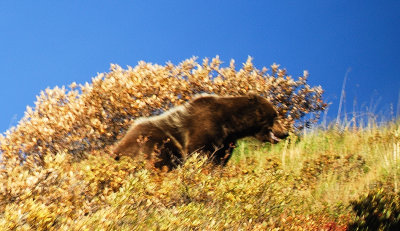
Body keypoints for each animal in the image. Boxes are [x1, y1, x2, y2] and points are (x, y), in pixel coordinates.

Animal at [112, 93, 288, 170]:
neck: (229, 123)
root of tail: (116, 149)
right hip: (152, 142)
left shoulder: (226, 141)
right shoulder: (204, 128)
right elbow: (200, 152)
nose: (285, 132)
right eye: (275, 115)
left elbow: (220, 158)